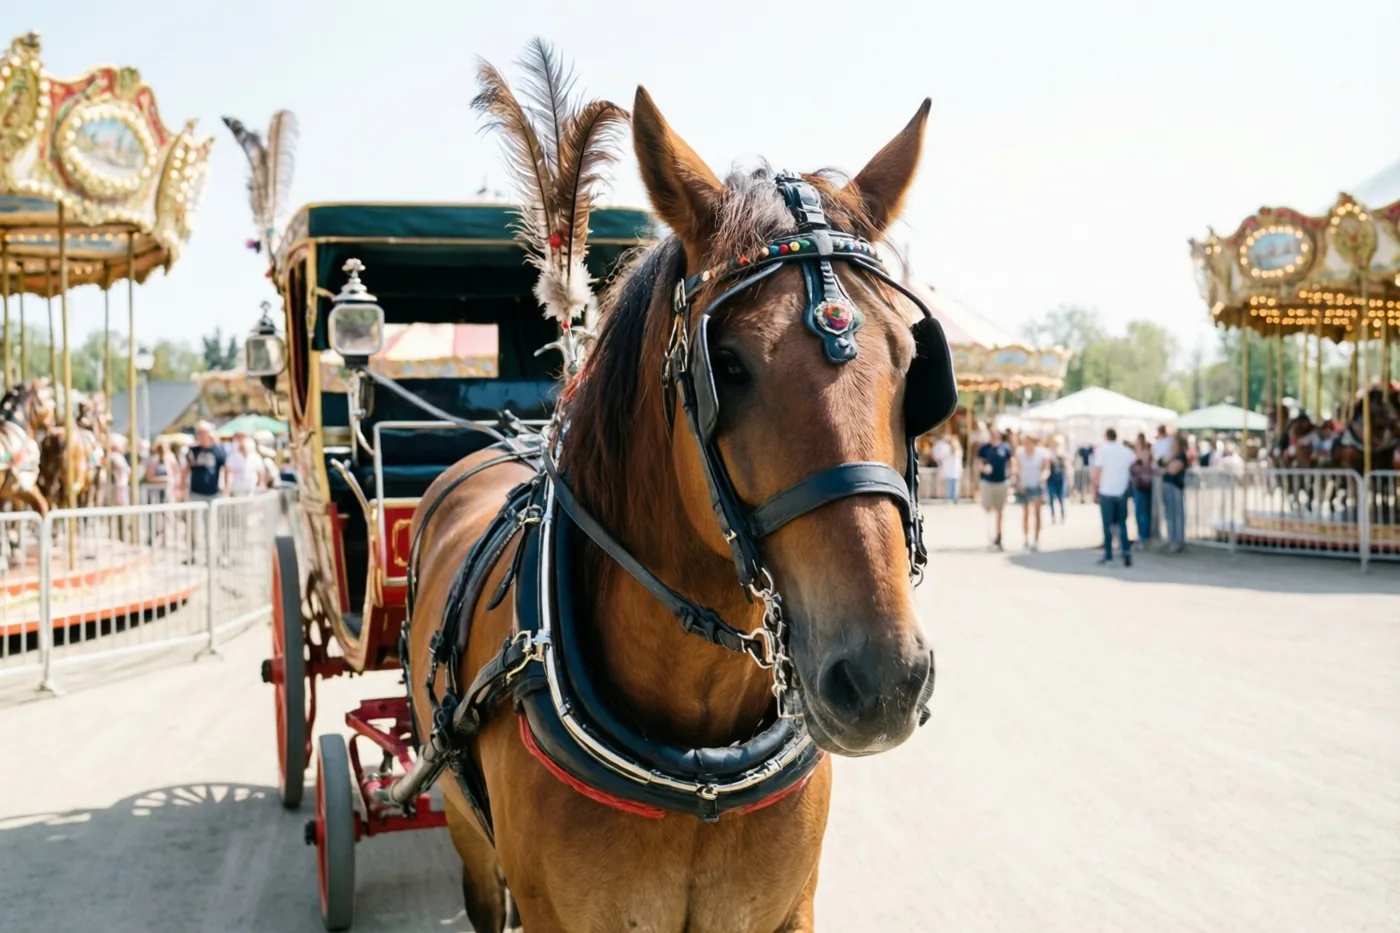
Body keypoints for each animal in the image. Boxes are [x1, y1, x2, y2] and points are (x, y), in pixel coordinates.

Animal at [407, 90, 941, 932]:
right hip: (466, 831)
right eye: (729, 365)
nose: (884, 678)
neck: (697, 758)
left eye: (914, 363)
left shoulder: (790, 908)